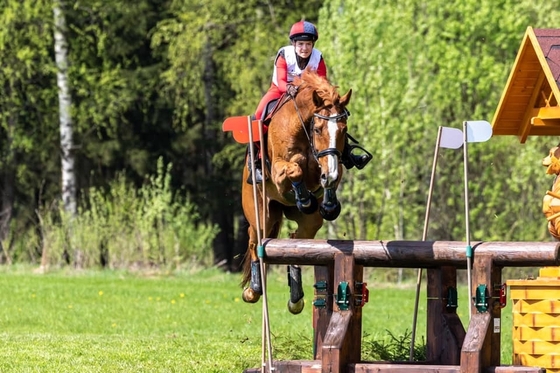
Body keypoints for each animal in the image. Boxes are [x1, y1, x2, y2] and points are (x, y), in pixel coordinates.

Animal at [240, 68, 350, 312]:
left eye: (344, 131)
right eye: (318, 129)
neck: (302, 125)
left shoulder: (332, 163)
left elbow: (329, 178)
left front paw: (329, 204)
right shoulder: (280, 171)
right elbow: (295, 170)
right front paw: (305, 199)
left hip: (310, 223)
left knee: (296, 241)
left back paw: (296, 298)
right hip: (262, 213)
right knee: (254, 240)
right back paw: (253, 289)